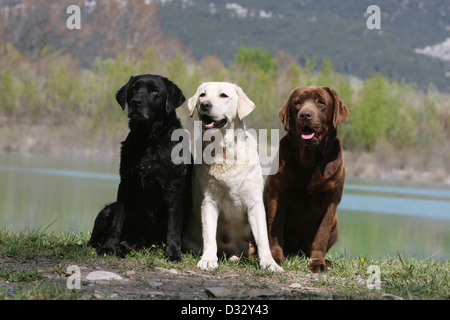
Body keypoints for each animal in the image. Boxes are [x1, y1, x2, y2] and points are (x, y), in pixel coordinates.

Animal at [89, 75, 191, 262]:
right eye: (133, 89)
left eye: (155, 91)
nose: (136, 102)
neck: (149, 138)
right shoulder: (126, 183)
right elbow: (117, 221)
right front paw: (108, 247)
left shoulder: (173, 187)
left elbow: (173, 226)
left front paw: (173, 253)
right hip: (107, 210)